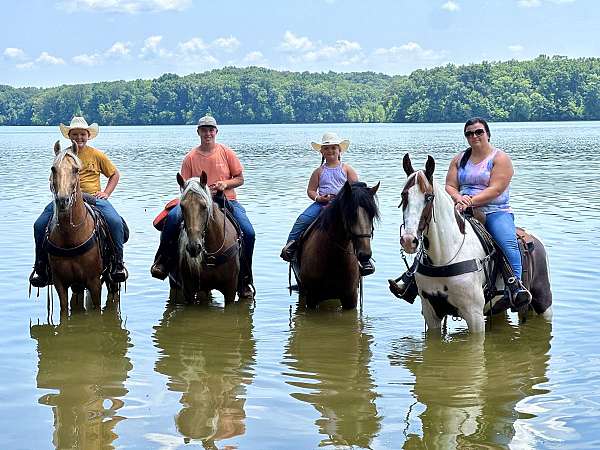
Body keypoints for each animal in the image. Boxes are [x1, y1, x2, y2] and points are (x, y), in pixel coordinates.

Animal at [47, 142, 119, 314]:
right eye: (53, 169)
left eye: (75, 170)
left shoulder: (94, 282)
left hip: (110, 277)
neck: (70, 237)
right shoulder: (60, 283)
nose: (63, 200)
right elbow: (64, 309)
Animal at [290, 179, 380, 310]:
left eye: (372, 215)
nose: (365, 255)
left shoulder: (350, 298)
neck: (333, 257)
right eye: (350, 214)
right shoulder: (312, 298)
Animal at [398, 155, 552, 334]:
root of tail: (534, 239)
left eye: (428, 197)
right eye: (404, 195)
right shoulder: (431, 313)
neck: (444, 258)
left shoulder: (474, 315)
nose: (409, 240)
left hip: (544, 302)